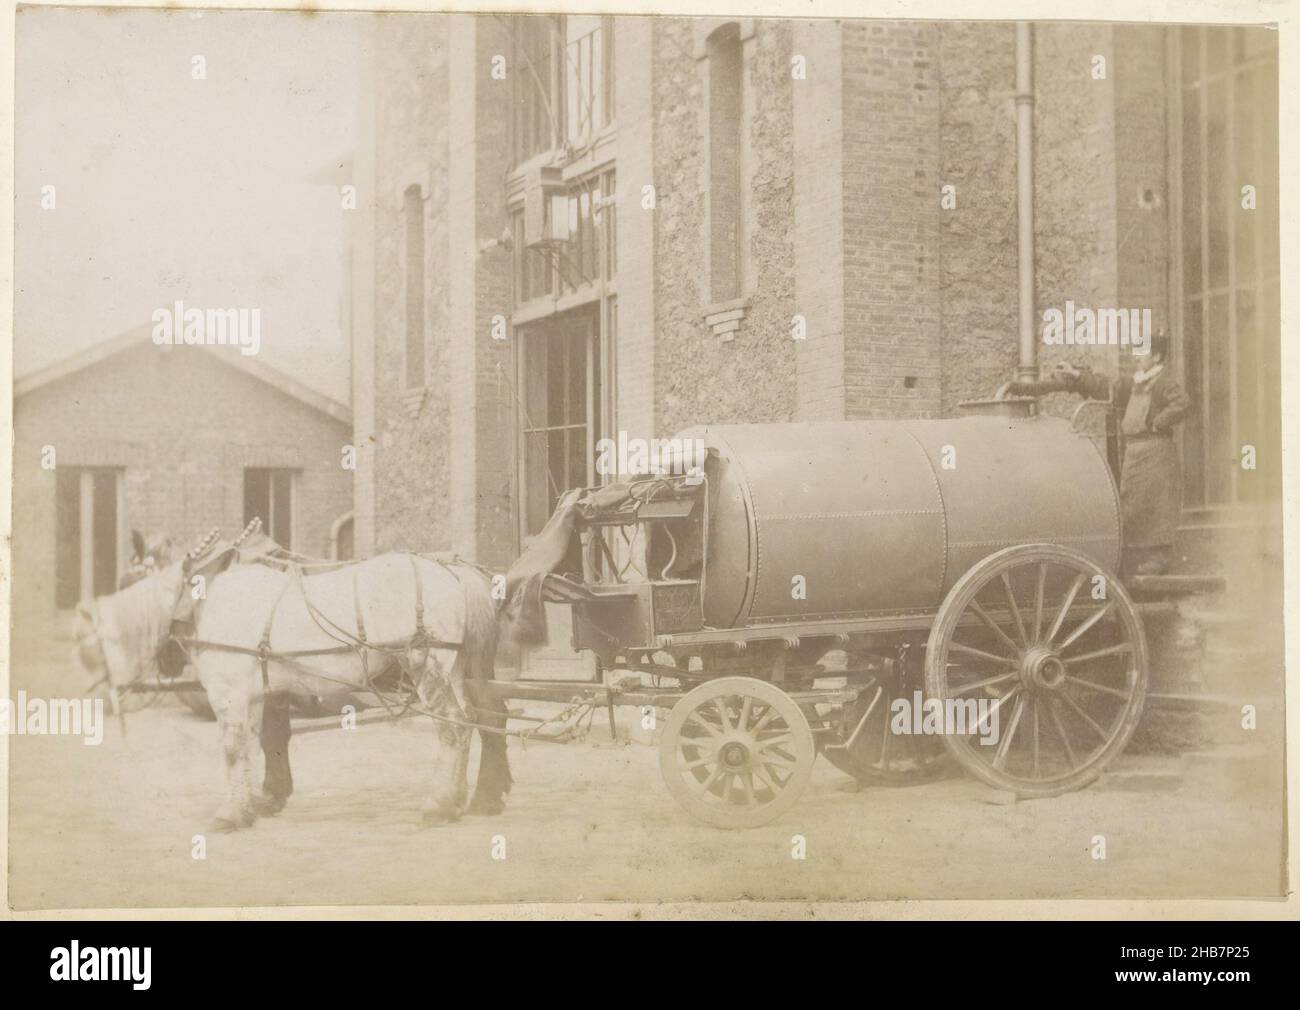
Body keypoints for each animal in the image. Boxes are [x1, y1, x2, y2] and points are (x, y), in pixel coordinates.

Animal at [73, 551, 514, 826]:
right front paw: (249, 807)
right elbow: (252, 747)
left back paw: (441, 804)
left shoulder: (229, 694)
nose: (96, 700)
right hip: (454, 670)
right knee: (475, 720)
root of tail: (453, 574)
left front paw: (228, 815)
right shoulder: (253, 696)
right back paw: (464, 799)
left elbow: (233, 750)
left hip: (427, 666)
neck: (204, 601)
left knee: (454, 727)